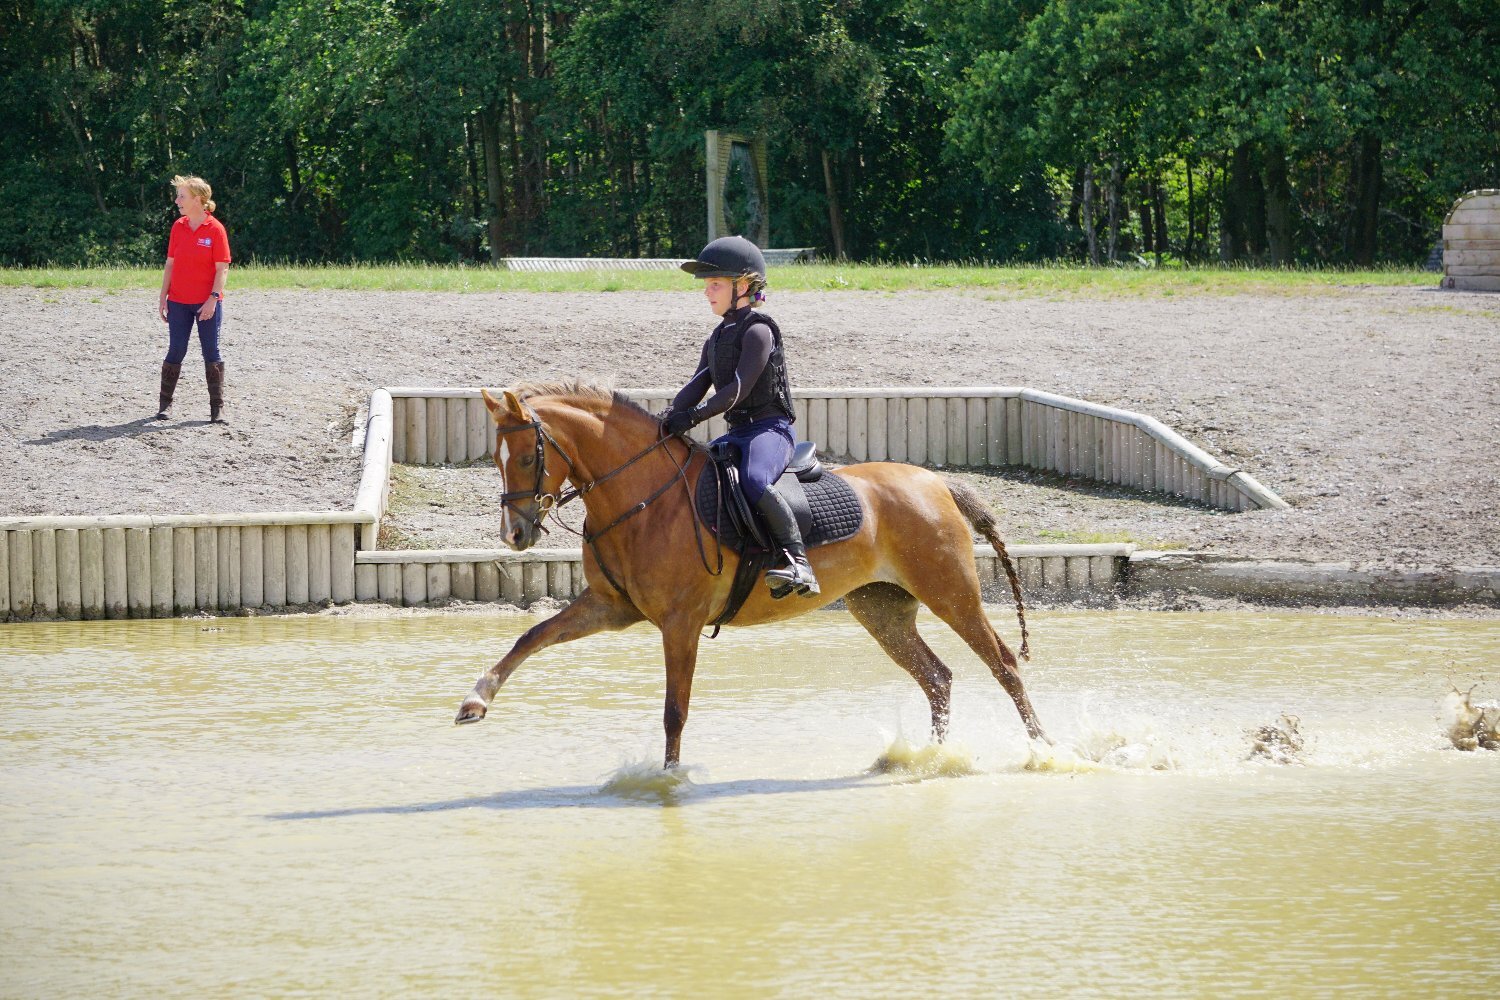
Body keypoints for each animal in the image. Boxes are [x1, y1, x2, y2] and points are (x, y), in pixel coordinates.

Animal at [455, 381, 1047, 767]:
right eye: (496, 458)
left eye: (527, 457)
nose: (515, 534)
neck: (643, 498)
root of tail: (938, 482)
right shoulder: (611, 608)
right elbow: (532, 636)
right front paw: (477, 699)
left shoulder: (681, 622)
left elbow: (674, 711)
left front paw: (670, 782)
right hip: (882, 609)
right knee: (937, 679)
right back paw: (929, 758)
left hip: (951, 593)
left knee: (1004, 666)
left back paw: (1045, 753)